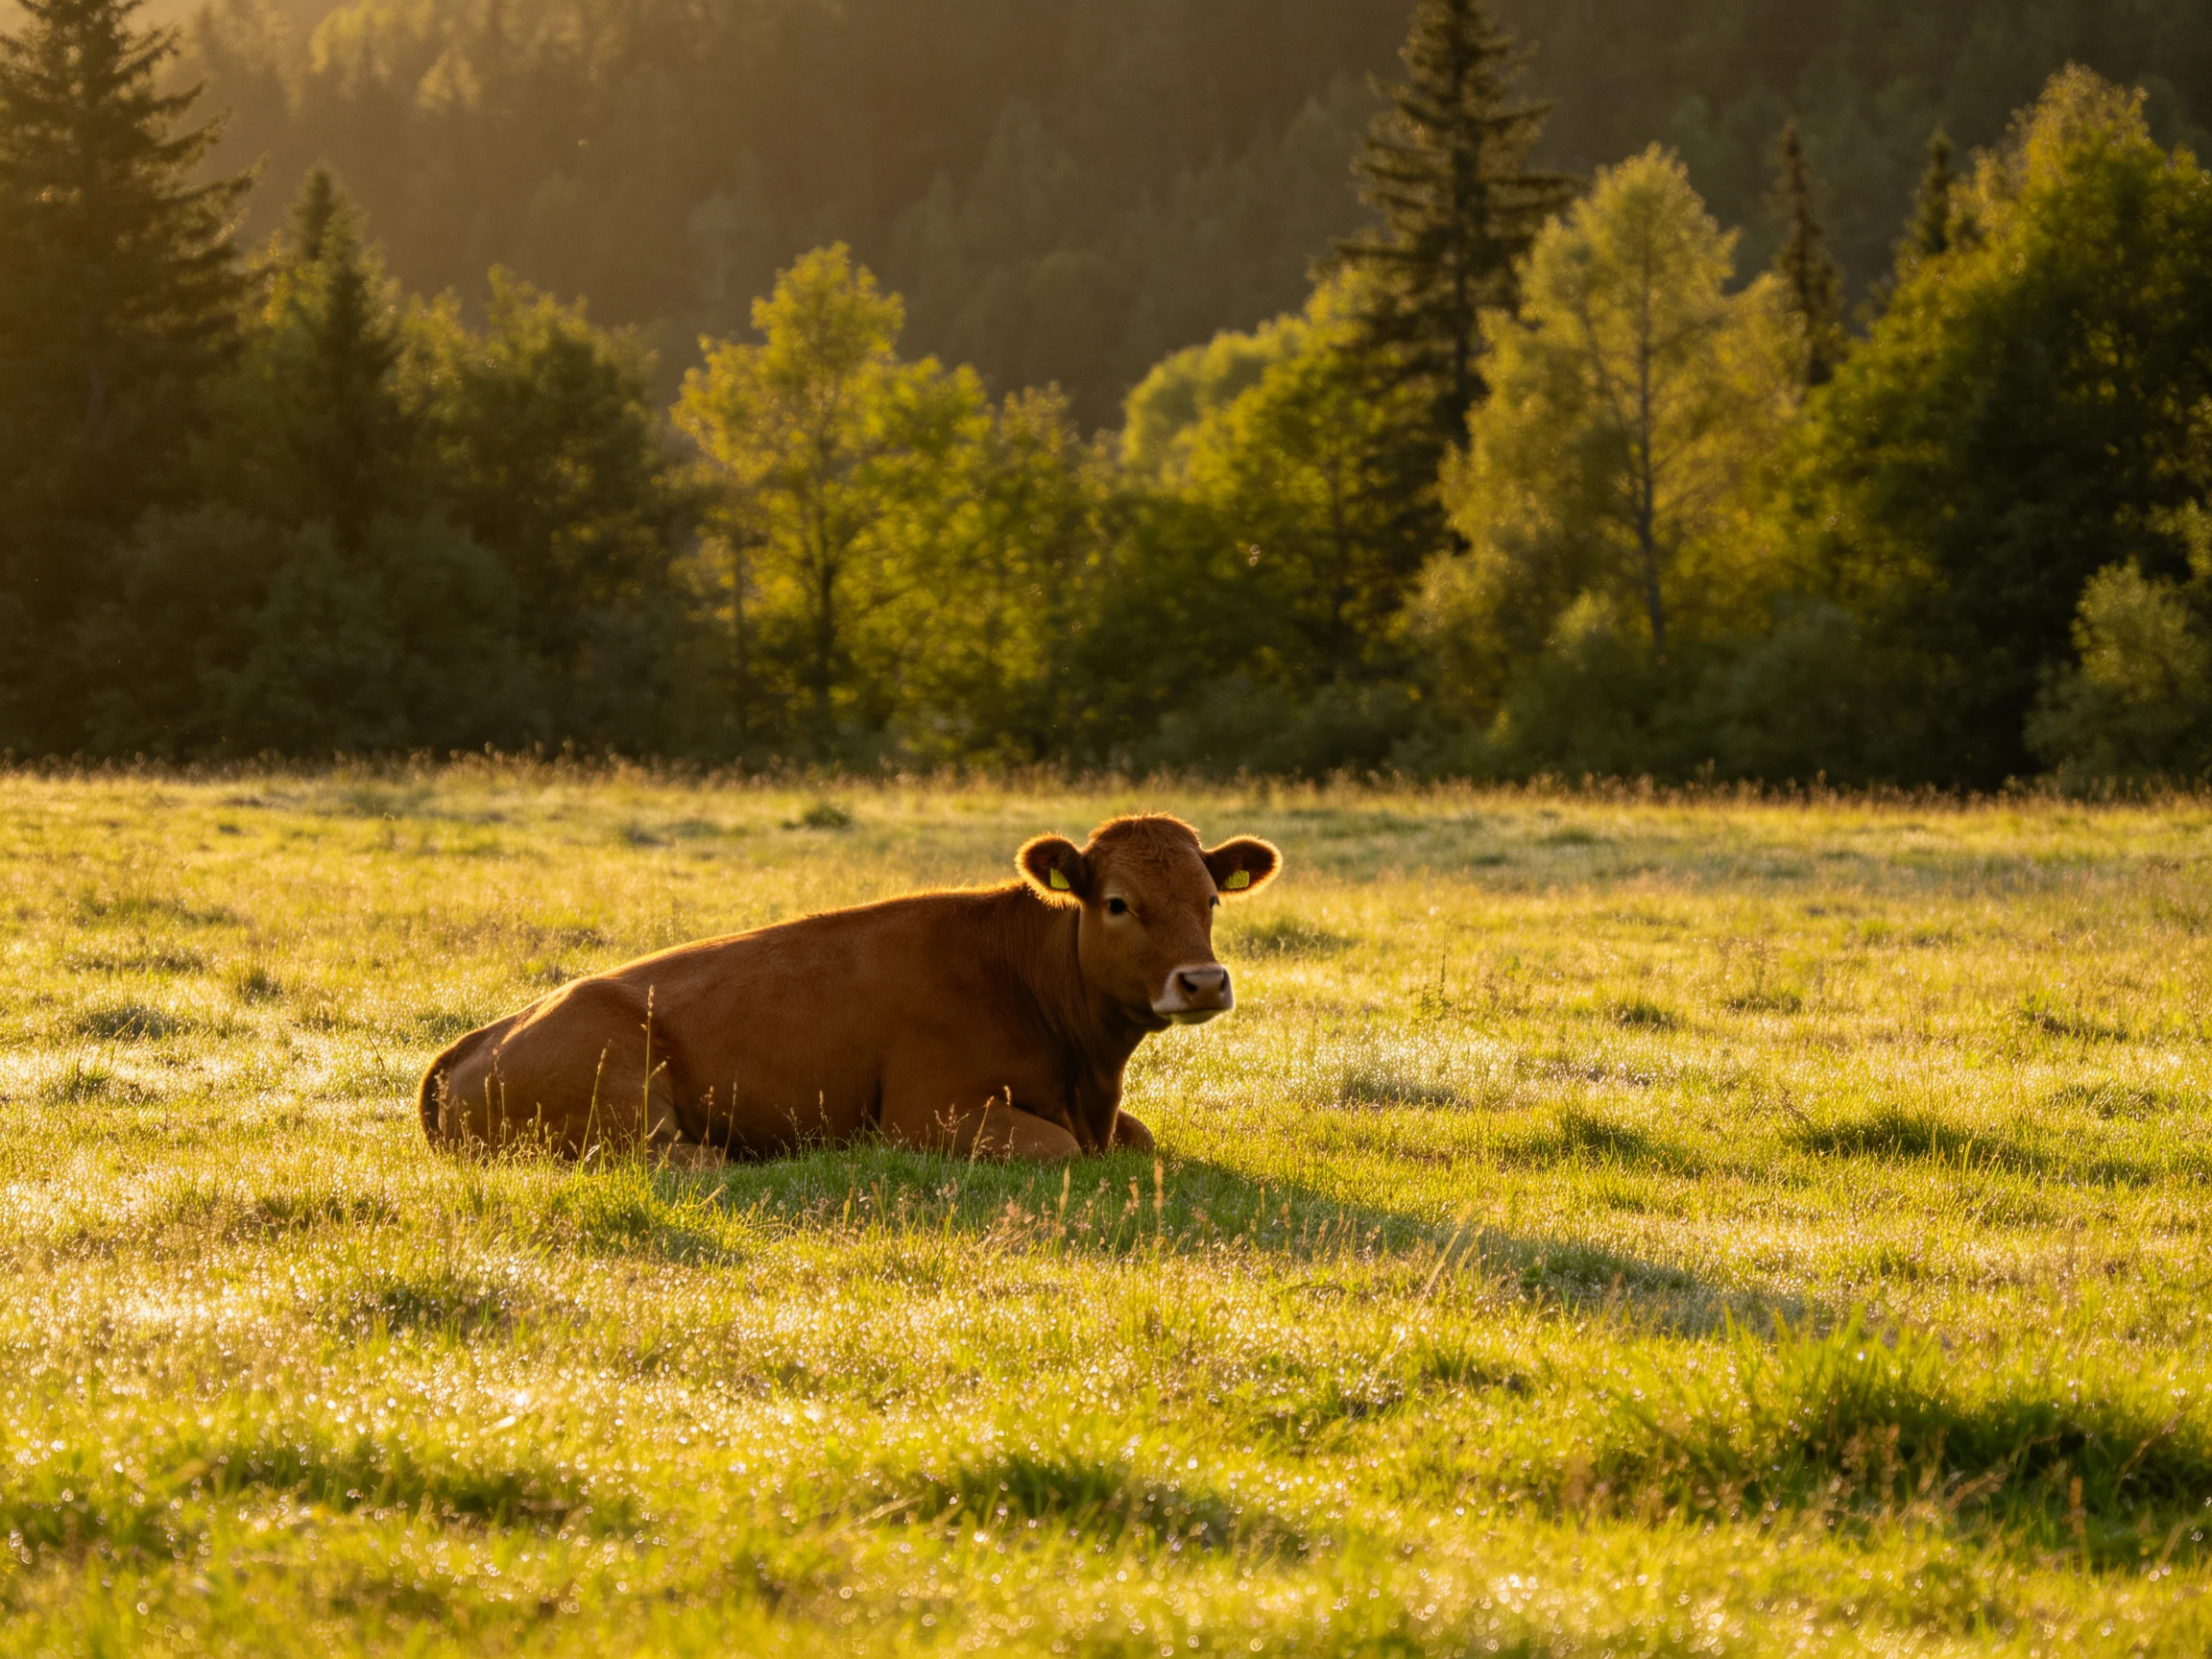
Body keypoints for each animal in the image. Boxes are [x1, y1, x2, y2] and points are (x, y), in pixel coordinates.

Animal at [417, 814, 1281, 1164]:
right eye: (1117, 903)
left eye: (1211, 899)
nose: (1202, 981)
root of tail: (478, 1039)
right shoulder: (929, 1114)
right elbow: (1062, 1149)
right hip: (624, 1098)